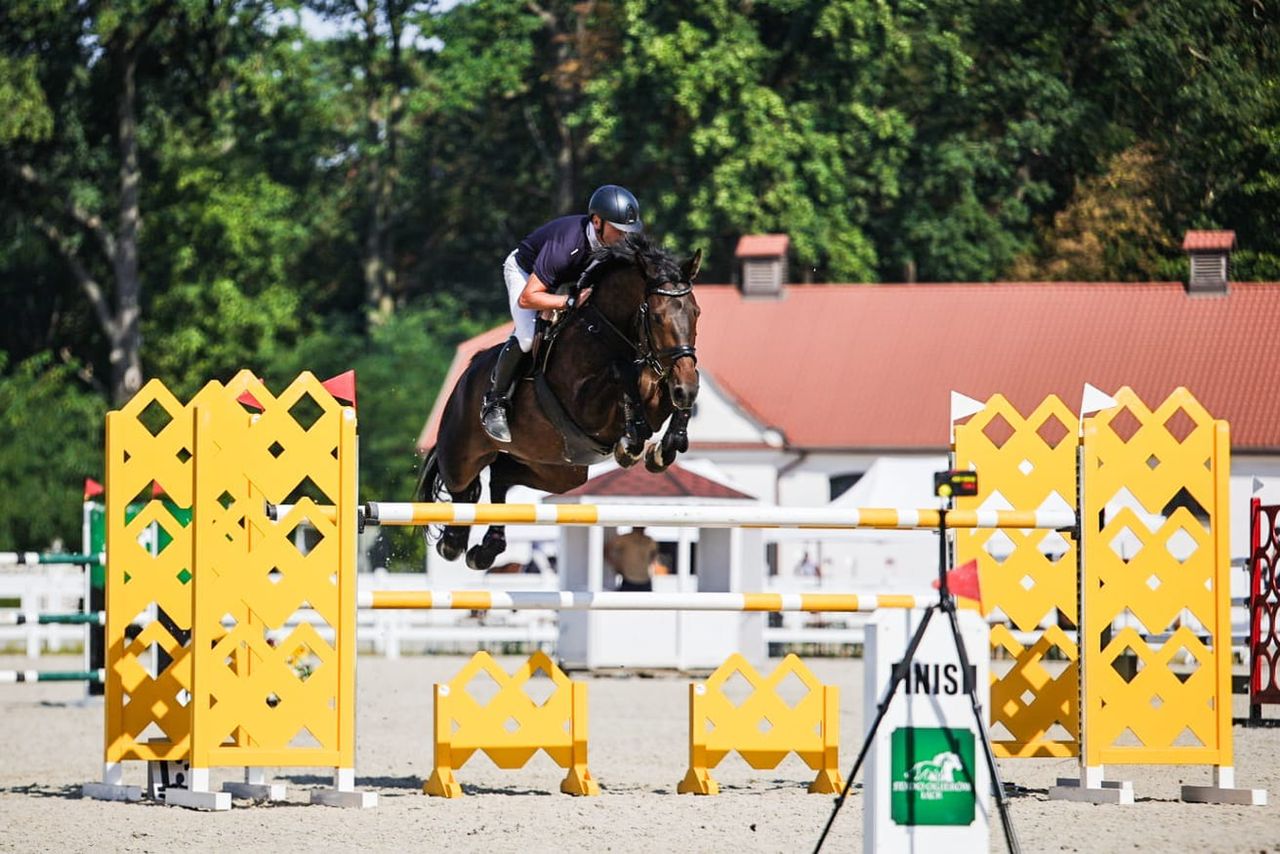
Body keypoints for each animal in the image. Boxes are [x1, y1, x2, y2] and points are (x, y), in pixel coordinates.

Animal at [417, 231, 701, 568]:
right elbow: (622, 374)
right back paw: (454, 540)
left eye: (696, 312)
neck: (607, 331)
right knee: (462, 489)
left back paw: (488, 547)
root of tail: (466, 375)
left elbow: (670, 396)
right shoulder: (585, 406)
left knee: (500, 476)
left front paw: (664, 448)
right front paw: (631, 444)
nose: (686, 387)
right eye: (657, 317)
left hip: (557, 470)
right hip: (461, 452)